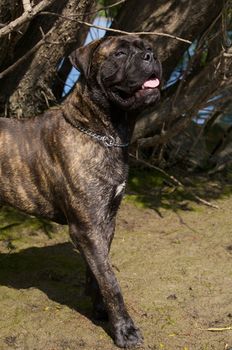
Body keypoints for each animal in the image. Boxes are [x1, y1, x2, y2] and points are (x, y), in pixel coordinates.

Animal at [0, 34, 162, 348]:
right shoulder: (86, 227)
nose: (151, 56)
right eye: (120, 53)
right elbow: (112, 282)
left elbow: (99, 271)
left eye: (148, 47)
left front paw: (100, 310)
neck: (101, 132)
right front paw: (125, 330)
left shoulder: (105, 221)